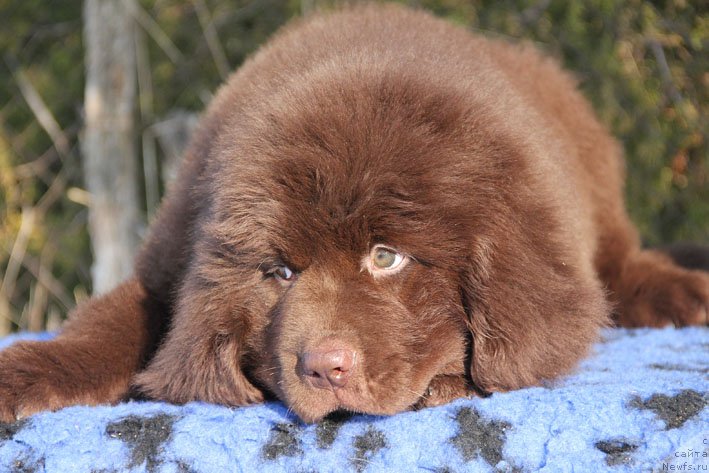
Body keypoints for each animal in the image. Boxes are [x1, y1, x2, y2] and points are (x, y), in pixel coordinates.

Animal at [1, 3, 708, 422]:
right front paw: (21, 376)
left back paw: (683, 293)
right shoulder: (167, 263)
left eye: (386, 257)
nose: (324, 368)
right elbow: (107, 328)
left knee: (620, 264)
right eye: (280, 272)